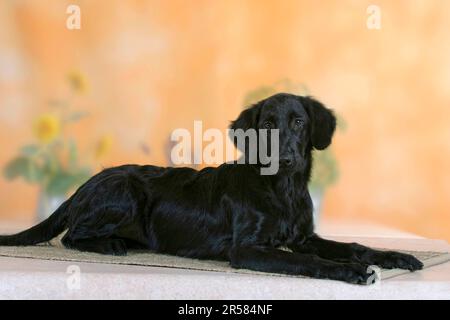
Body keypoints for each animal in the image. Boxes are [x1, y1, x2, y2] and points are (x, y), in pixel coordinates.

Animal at [0, 94, 422, 284]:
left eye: (299, 122)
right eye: (267, 124)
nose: (286, 159)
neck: (282, 191)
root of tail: (83, 185)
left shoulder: (304, 237)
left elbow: (354, 245)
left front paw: (394, 256)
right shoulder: (248, 249)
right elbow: (307, 262)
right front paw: (351, 271)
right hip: (125, 190)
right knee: (71, 236)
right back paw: (111, 245)